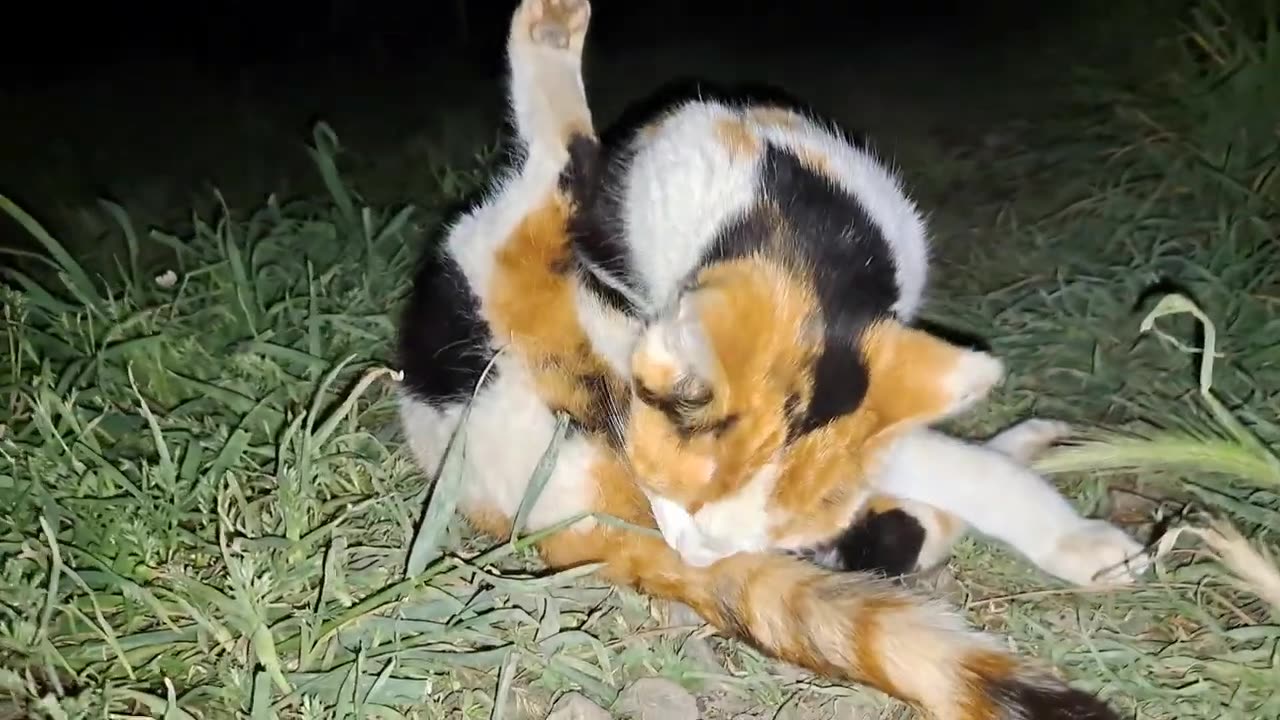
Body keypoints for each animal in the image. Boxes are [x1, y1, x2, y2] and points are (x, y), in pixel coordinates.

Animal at [394, 2, 1146, 712]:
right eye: (677, 497)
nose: (698, 553)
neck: (799, 237)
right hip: (501, 270)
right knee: (552, 170)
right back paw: (550, 34)